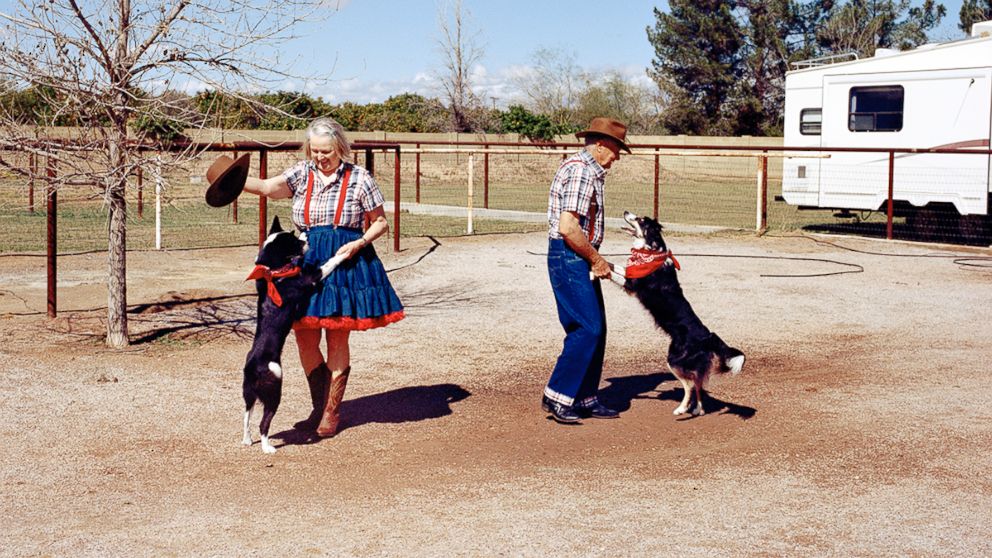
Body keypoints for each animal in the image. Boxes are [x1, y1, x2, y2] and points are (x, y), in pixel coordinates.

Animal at [242, 217, 346, 458]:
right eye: (295, 243)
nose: (306, 239)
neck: (274, 273)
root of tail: (253, 368)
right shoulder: (312, 277)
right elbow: (329, 262)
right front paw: (343, 253)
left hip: (249, 395)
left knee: (246, 417)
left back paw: (247, 440)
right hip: (273, 392)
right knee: (263, 423)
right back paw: (267, 447)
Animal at [620, 212, 744, 418]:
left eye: (641, 220)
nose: (625, 212)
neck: (650, 253)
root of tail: (707, 336)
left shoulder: (631, 282)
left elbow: (612, 267)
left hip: (674, 360)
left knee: (689, 384)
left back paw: (681, 409)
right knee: (698, 382)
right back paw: (698, 409)